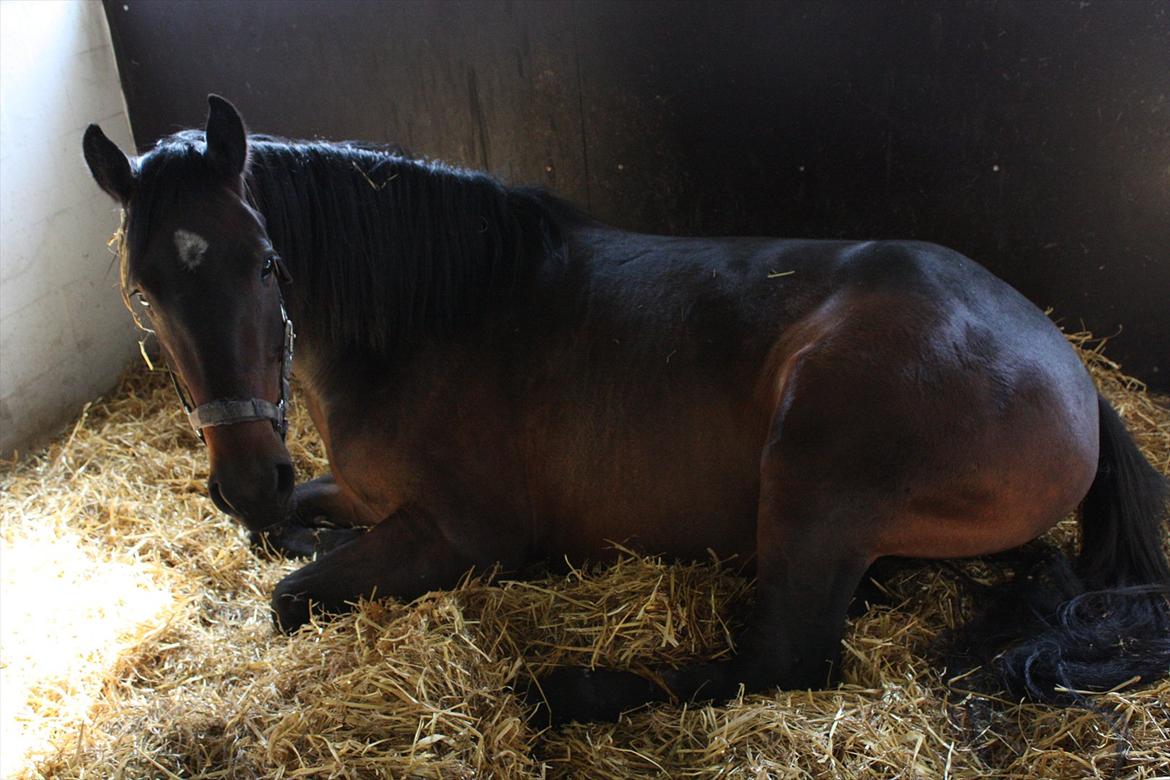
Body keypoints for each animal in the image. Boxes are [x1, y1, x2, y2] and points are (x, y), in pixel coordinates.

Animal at [84, 97, 1170, 725]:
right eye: (141, 288)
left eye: (265, 263)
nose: (242, 480)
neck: (434, 318)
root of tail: (1077, 378)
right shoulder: (358, 494)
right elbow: (293, 530)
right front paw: (285, 522)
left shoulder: (466, 532)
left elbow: (290, 595)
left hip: (817, 474)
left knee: (783, 662)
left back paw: (561, 693)